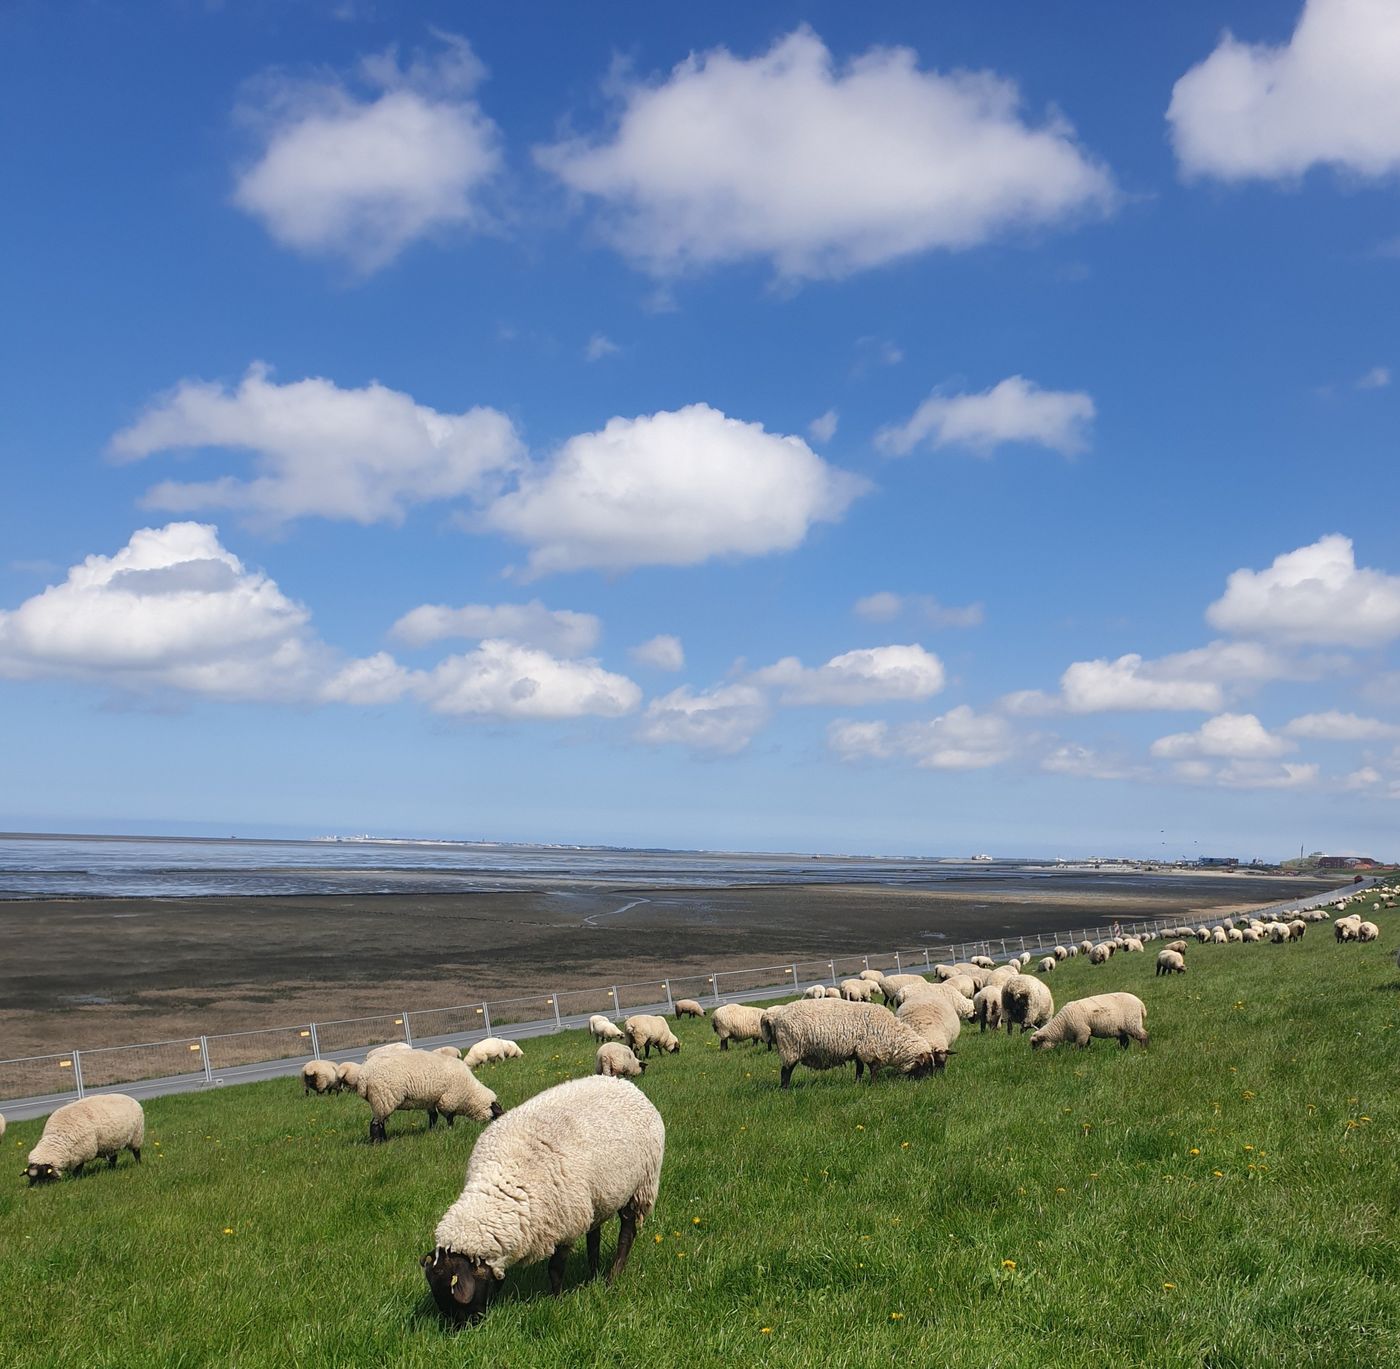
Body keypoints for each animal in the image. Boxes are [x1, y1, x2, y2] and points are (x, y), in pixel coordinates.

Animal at [355, 1047, 504, 1142]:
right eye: (497, 1114)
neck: (470, 1093)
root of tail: (363, 1076)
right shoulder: (448, 1099)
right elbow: (449, 1117)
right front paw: (451, 1130)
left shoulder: (432, 1100)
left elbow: (434, 1117)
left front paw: (432, 1131)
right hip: (383, 1098)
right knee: (376, 1123)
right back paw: (378, 1142)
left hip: (380, 1100)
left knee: (380, 1122)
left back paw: (384, 1139)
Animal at [417, 1075, 663, 1315]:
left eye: (453, 1296)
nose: (464, 1326)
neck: (505, 1180)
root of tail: (626, 1084)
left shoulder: (565, 1223)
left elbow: (555, 1269)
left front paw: (557, 1300)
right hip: (597, 1198)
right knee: (594, 1235)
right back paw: (593, 1274)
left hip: (641, 1186)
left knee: (627, 1234)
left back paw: (613, 1277)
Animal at [761, 991, 935, 1086]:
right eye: (926, 1066)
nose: (928, 1082)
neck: (892, 1036)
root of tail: (775, 1016)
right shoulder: (869, 1050)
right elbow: (873, 1069)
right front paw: (874, 1085)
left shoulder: (858, 1050)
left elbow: (860, 1070)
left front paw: (857, 1084)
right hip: (790, 1048)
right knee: (785, 1072)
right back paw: (785, 1090)